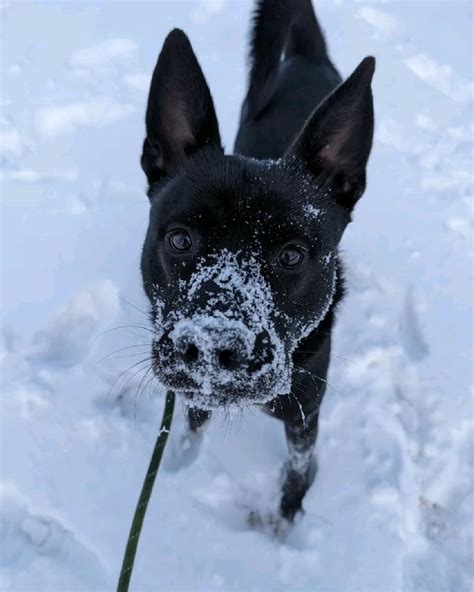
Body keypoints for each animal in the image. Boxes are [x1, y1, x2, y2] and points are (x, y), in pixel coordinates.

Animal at [139, 0, 376, 528]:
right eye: (181, 239)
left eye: (291, 255)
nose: (211, 347)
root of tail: (307, 54)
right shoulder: (196, 392)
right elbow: (194, 419)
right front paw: (182, 460)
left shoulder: (305, 413)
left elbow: (299, 466)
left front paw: (286, 515)